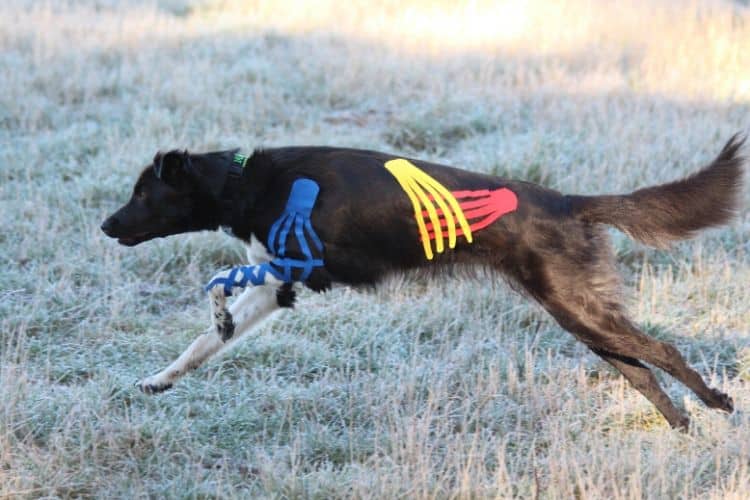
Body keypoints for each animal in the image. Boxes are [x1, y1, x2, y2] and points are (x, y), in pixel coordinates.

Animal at [101, 136, 748, 430]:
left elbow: (218, 280)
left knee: (663, 351)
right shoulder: (278, 283)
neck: (244, 182)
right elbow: (203, 341)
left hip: (580, 311)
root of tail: (570, 202)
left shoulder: (303, 268)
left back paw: (717, 403)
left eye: (143, 193)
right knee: (642, 371)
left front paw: (215, 315)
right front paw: (161, 378)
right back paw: (681, 427)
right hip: (583, 318)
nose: (105, 226)